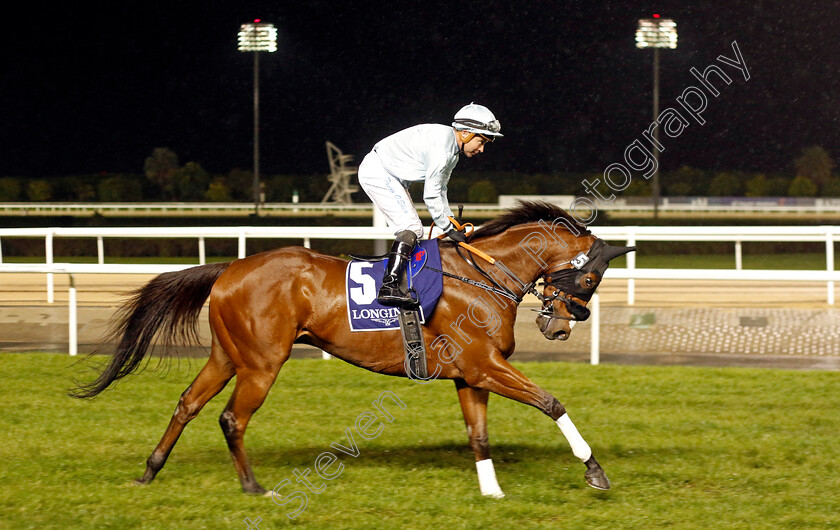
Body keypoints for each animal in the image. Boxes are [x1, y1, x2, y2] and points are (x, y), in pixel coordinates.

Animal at [72, 200, 632, 498]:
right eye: (589, 278)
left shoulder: (470, 374)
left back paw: (150, 470)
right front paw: (594, 471)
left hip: (228, 355)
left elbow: (479, 435)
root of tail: (230, 268)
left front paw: (491, 492)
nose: (559, 327)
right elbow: (552, 403)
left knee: (187, 403)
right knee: (232, 418)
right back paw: (253, 486)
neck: (482, 276)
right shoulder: (484, 364)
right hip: (262, 363)